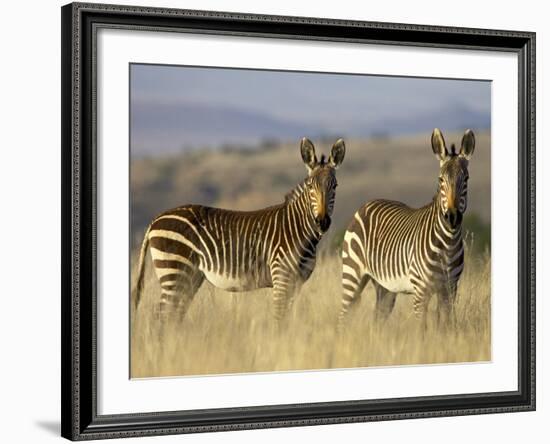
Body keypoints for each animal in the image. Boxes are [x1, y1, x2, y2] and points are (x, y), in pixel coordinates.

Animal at [134, 137, 348, 324]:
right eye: (311, 186)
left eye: (335, 186)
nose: (322, 222)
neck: (298, 229)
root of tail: (155, 219)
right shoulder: (281, 277)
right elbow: (279, 319)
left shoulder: (296, 283)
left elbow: (286, 319)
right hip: (174, 271)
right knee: (161, 317)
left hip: (190, 277)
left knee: (173, 316)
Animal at [338, 128, 476, 330]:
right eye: (440, 180)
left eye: (465, 179)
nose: (452, 217)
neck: (448, 244)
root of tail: (366, 204)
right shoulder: (421, 291)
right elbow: (422, 330)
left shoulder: (450, 289)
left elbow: (446, 328)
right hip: (352, 274)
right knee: (343, 315)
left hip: (384, 286)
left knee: (377, 318)